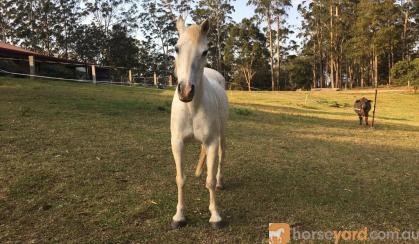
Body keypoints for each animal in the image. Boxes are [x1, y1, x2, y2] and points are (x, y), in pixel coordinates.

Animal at [171, 17, 230, 229]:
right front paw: (179, 216)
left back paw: (221, 182)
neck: (192, 107)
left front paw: (216, 216)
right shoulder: (177, 143)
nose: (186, 91)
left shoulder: (212, 143)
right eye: (177, 48)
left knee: (221, 158)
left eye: (204, 52)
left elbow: (210, 180)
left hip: (222, 135)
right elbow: (180, 179)